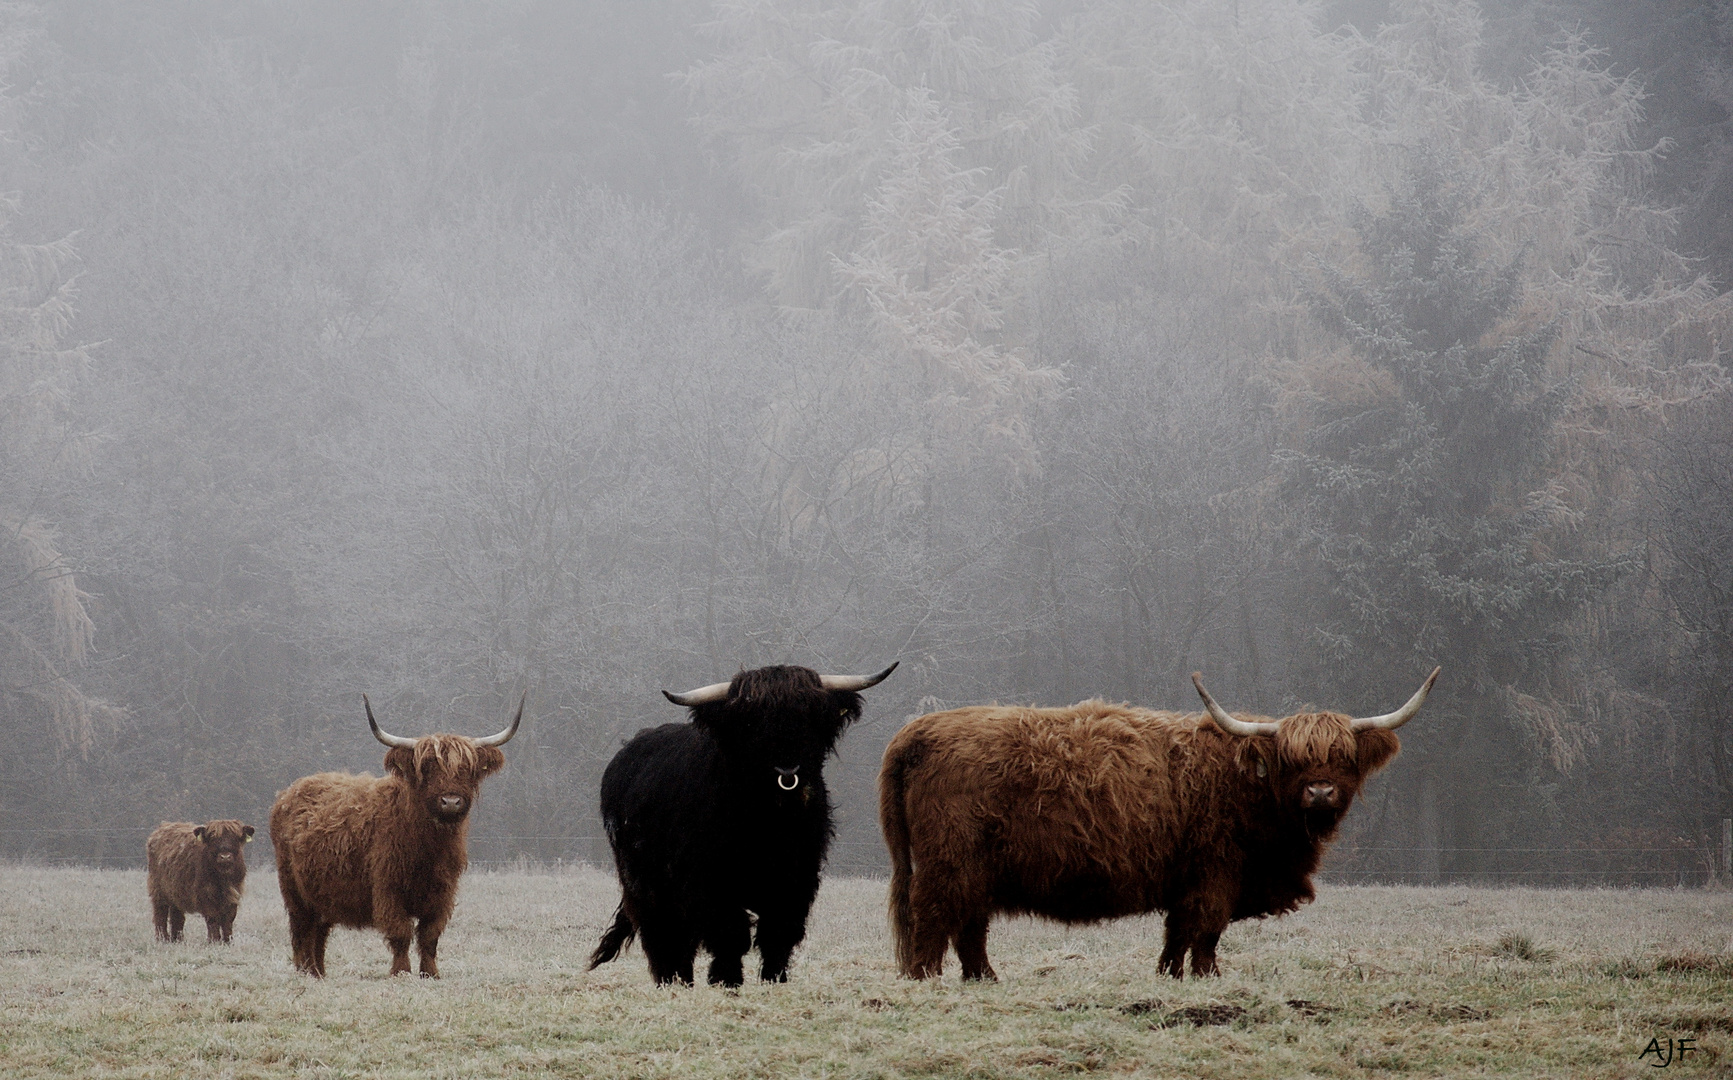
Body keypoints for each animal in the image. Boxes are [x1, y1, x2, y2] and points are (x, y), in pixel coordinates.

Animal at [266, 693, 523, 977]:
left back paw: (318, 972)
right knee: (301, 931)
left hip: (321, 893)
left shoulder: (443, 892)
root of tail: (288, 793)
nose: (451, 801)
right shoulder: (388, 888)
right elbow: (401, 932)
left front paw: (430, 973)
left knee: (319, 932)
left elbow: (430, 935)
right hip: (293, 891)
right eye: (427, 768)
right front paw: (401, 972)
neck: (429, 847)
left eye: (468, 768)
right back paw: (304, 971)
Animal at [592, 662, 901, 984]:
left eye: (808, 714)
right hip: (644, 883)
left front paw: (775, 979)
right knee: (663, 935)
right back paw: (673, 981)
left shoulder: (797, 877)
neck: (768, 823)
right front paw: (726, 980)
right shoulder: (710, 883)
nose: (787, 769)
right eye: (752, 722)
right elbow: (730, 933)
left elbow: (779, 933)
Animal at [880, 669, 1434, 977]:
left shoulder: (1187, 879)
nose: (1320, 792)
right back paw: (926, 978)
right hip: (949, 861)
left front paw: (1169, 976)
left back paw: (984, 979)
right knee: (934, 919)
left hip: (975, 870)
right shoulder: (1216, 872)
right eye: (1292, 760)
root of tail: (918, 730)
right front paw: (1208, 979)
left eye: (1342, 757)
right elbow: (1206, 931)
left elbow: (1177, 934)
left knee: (969, 927)